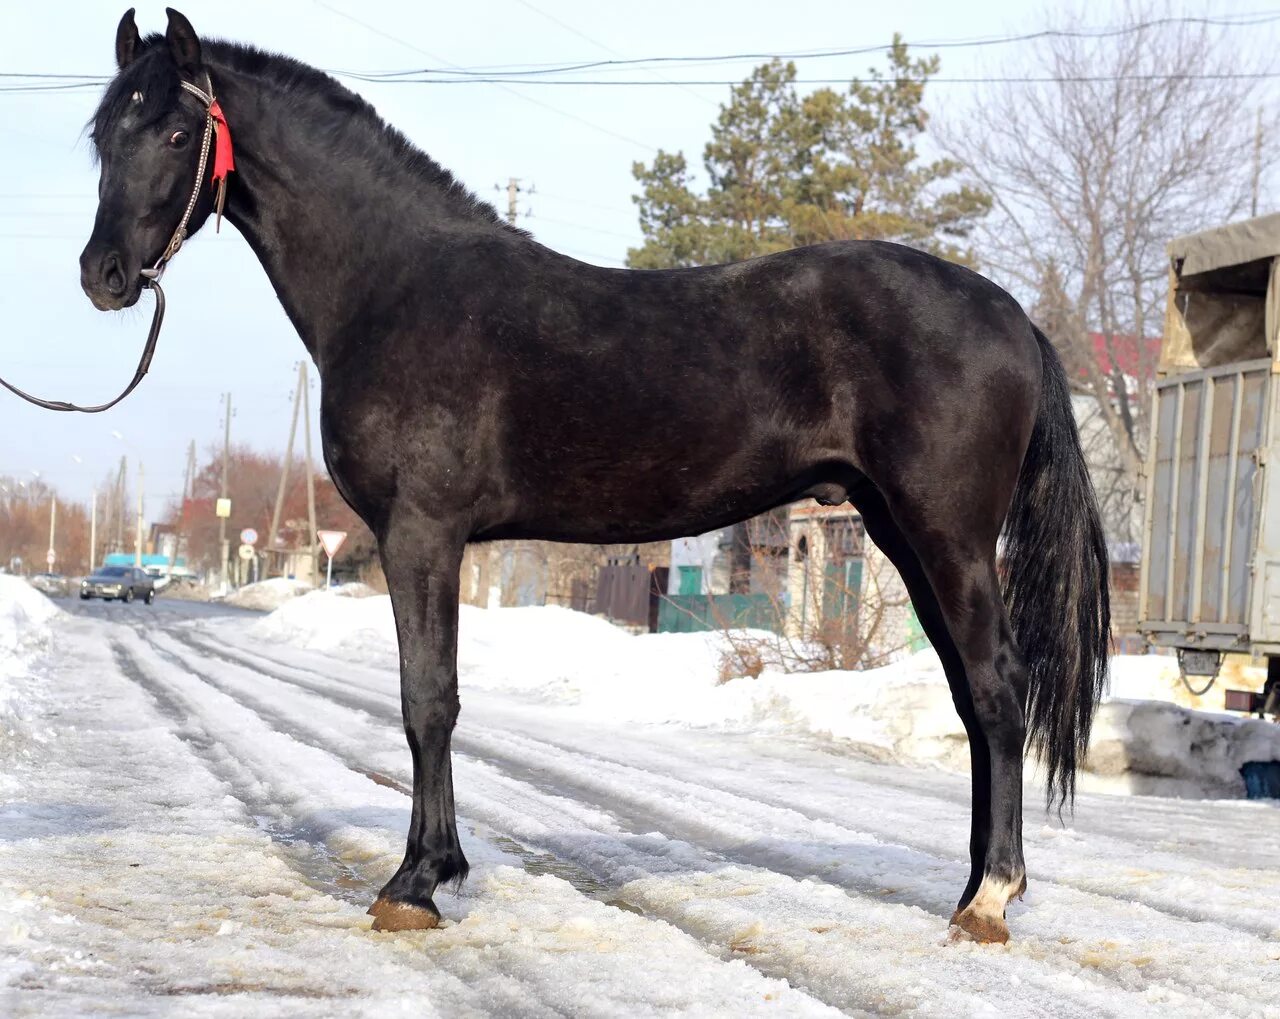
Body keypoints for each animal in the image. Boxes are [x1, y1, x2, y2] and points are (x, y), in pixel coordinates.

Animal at [80, 11, 1105, 942]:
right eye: (103, 135)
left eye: (175, 132)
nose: (104, 275)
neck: (396, 287)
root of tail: (1013, 316)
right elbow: (431, 698)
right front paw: (433, 867)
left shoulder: (420, 532)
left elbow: (427, 699)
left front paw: (416, 882)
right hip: (900, 531)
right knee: (972, 696)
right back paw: (970, 887)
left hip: (948, 534)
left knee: (999, 686)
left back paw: (991, 897)